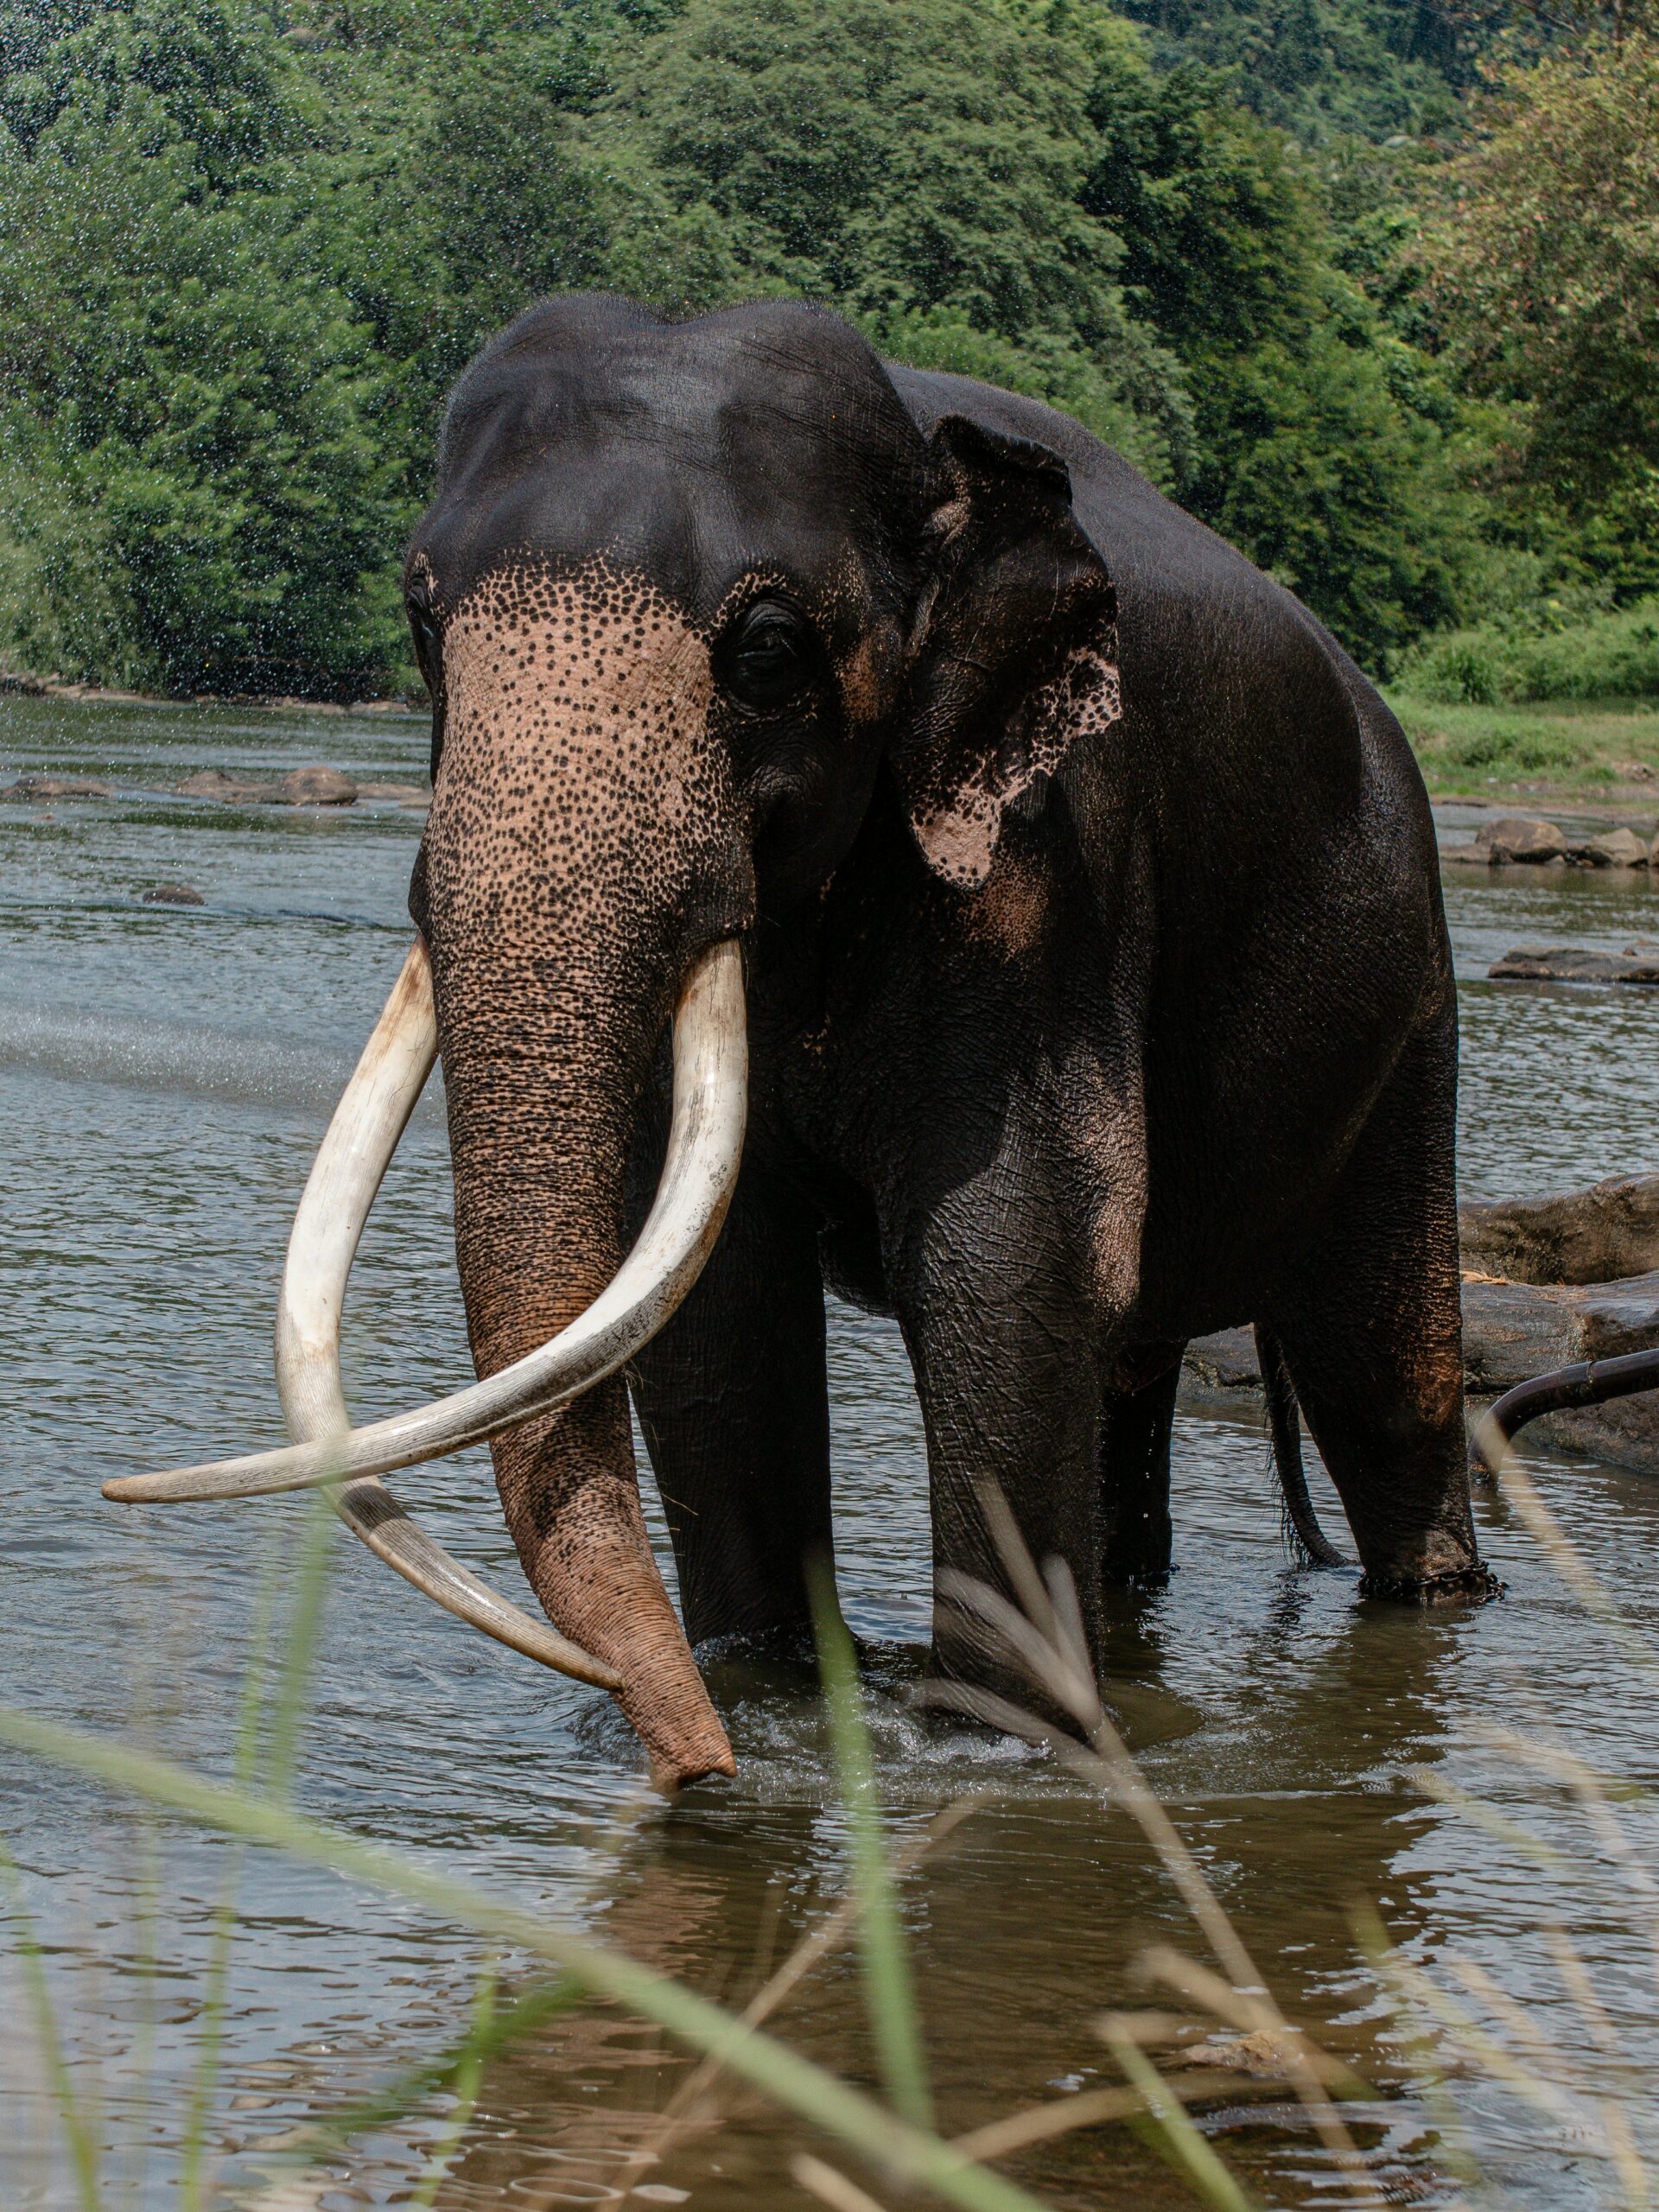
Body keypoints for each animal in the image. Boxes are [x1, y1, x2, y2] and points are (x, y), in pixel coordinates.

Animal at [112, 292, 1490, 1787]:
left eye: (767, 650)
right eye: (424, 623)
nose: (696, 1765)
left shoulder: (1048, 864)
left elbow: (1011, 1253)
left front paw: (1001, 1747)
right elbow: (718, 1296)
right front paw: (767, 1698)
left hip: (1411, 997)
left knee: (1383, 1370)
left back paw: (1432, 1599)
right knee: (1140, 1376)